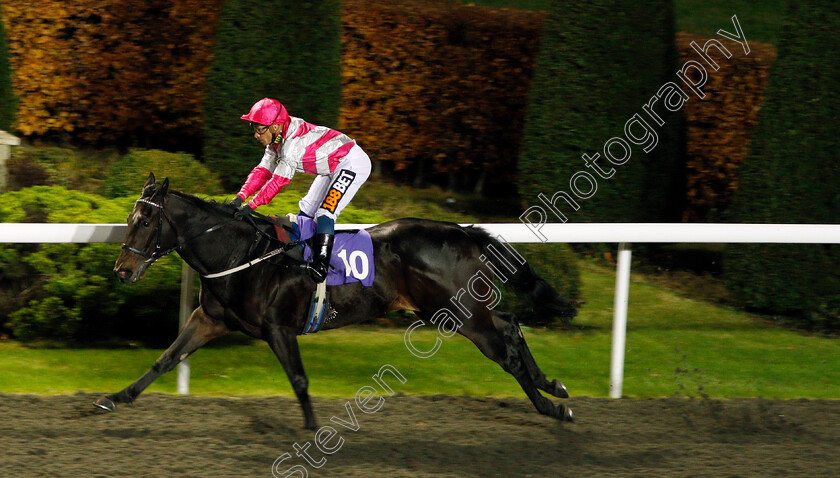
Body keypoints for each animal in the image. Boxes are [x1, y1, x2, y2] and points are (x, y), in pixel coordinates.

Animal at [100, 174, 576, 428]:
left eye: (146, 222)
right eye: (128, 218)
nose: (122, 270)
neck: (240, 254)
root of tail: (462, 231)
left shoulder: (278, 327)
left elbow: (298, 380)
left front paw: (312, 430)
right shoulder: (211, 318)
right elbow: (166, 358)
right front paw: (116, 397)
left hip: (458, 313)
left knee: (505, 350)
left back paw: (552, 407)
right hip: (459, 310)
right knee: (510, 325)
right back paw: (554, 387)